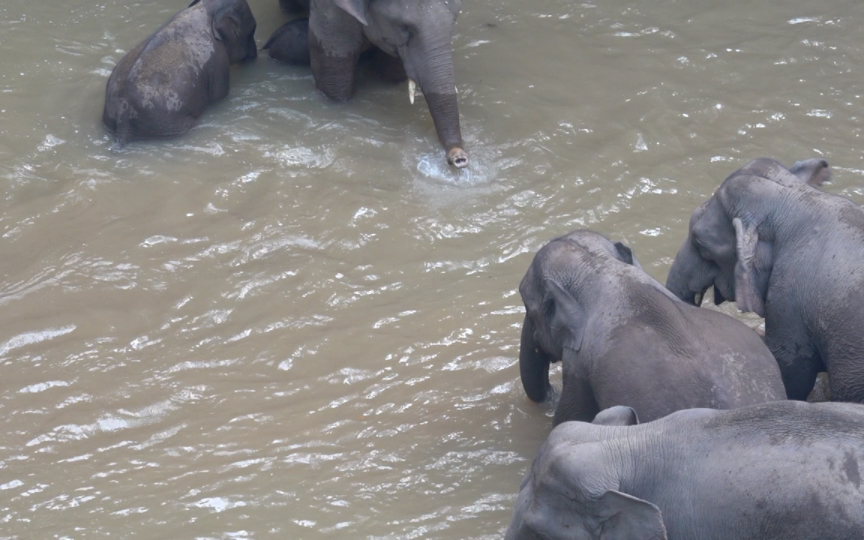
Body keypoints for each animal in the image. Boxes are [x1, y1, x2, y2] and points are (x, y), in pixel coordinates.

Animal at [101, 0, 256, 147]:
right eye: (253, 30)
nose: (254, 57)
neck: (206, 9)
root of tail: (122, 120)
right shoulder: (219, 61)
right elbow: (219, 97)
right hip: (167, 124)